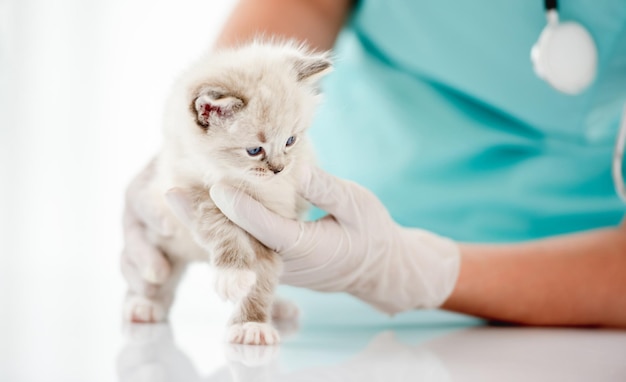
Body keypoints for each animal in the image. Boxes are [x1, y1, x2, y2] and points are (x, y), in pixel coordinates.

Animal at [119, 39, 330, 346]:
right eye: (254, 150)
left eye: (290, 140)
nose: (279, 170)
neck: (235, 179)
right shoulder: (190, 191)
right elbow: (221, 226)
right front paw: (233, 275)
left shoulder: (270, 225)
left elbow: (262, 278)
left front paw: (252, 325)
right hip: (161, 238)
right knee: (158, 275)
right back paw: (144, 305)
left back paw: (279, 309)